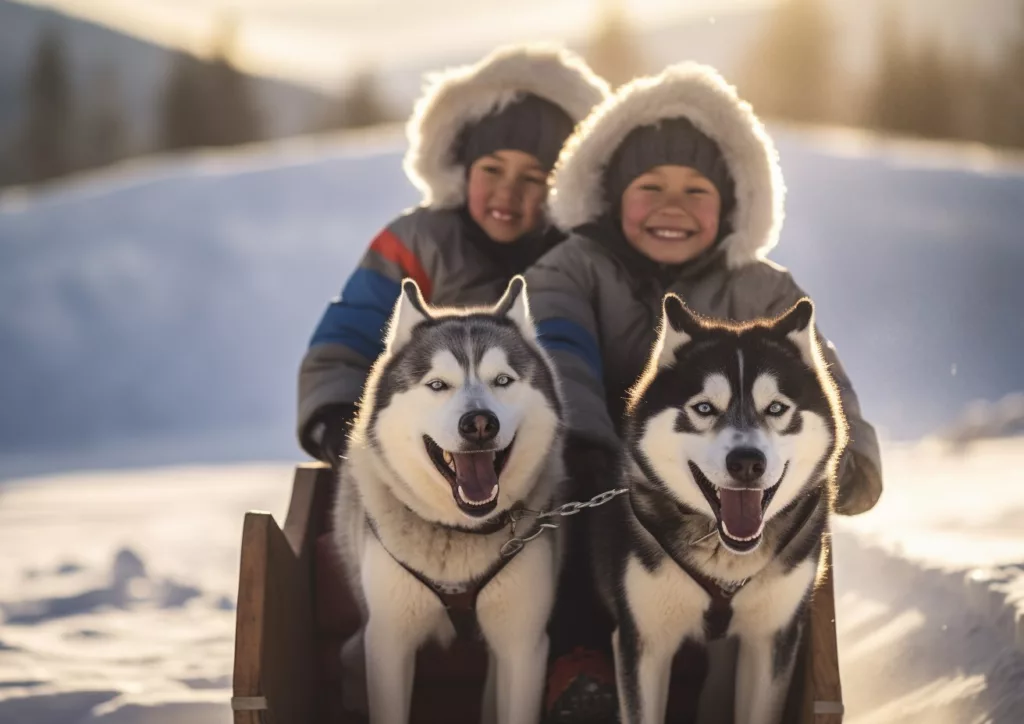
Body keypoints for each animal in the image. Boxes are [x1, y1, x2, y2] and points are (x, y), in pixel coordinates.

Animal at [331, 276, 565, 724]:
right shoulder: (387, 643)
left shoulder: (522, 646)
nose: (479, 423)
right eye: (438, 384)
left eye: (502, 380)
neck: (459, 534)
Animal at [593, 294, 847, 724]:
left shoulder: (771, 639)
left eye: (776, 408)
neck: (726, 561)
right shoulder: (644, 642)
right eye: (705, 408)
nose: (746, 463)